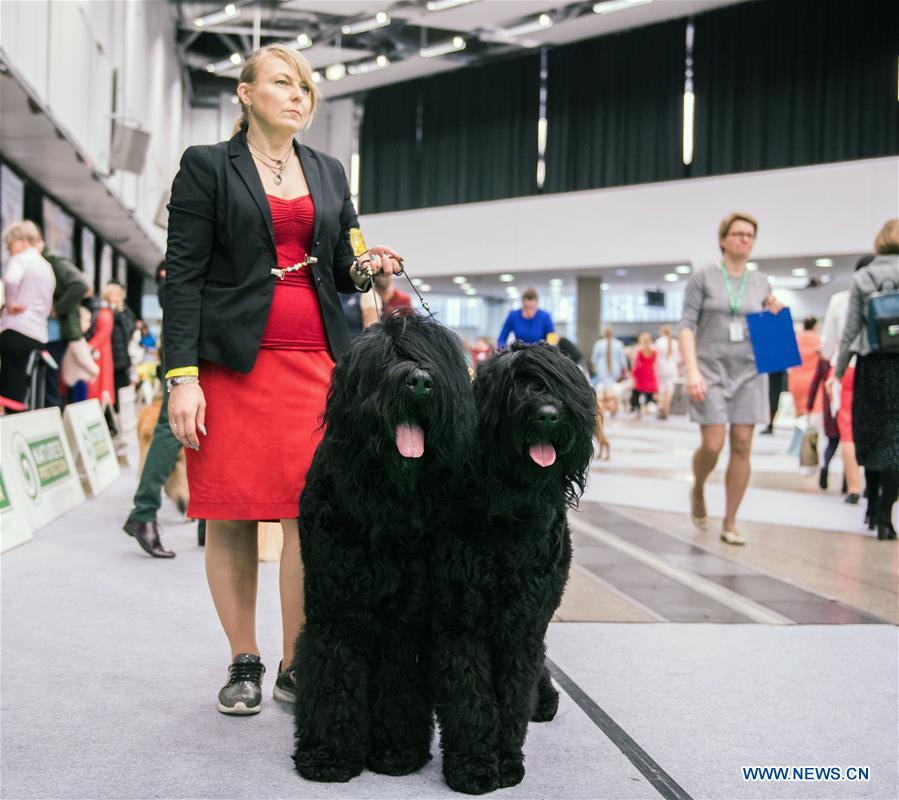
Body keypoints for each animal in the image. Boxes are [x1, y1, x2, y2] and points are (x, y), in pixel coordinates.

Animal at [294, 310, 478, 780]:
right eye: (384, 359)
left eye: (429, 354)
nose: (419, 382)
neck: (387, 502)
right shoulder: (335, 608)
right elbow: (333, 673)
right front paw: (328, 754)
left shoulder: (406, 619)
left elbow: (398, 682)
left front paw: (396, 750)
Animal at [434, 342, 596, 792]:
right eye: (514, 386)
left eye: (561, 384)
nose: (548, 413)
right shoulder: (462, 621)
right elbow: (472, 697)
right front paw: (472, 763)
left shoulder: (524, 623)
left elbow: (513, 695)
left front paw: (506, 759)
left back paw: (546, 699)